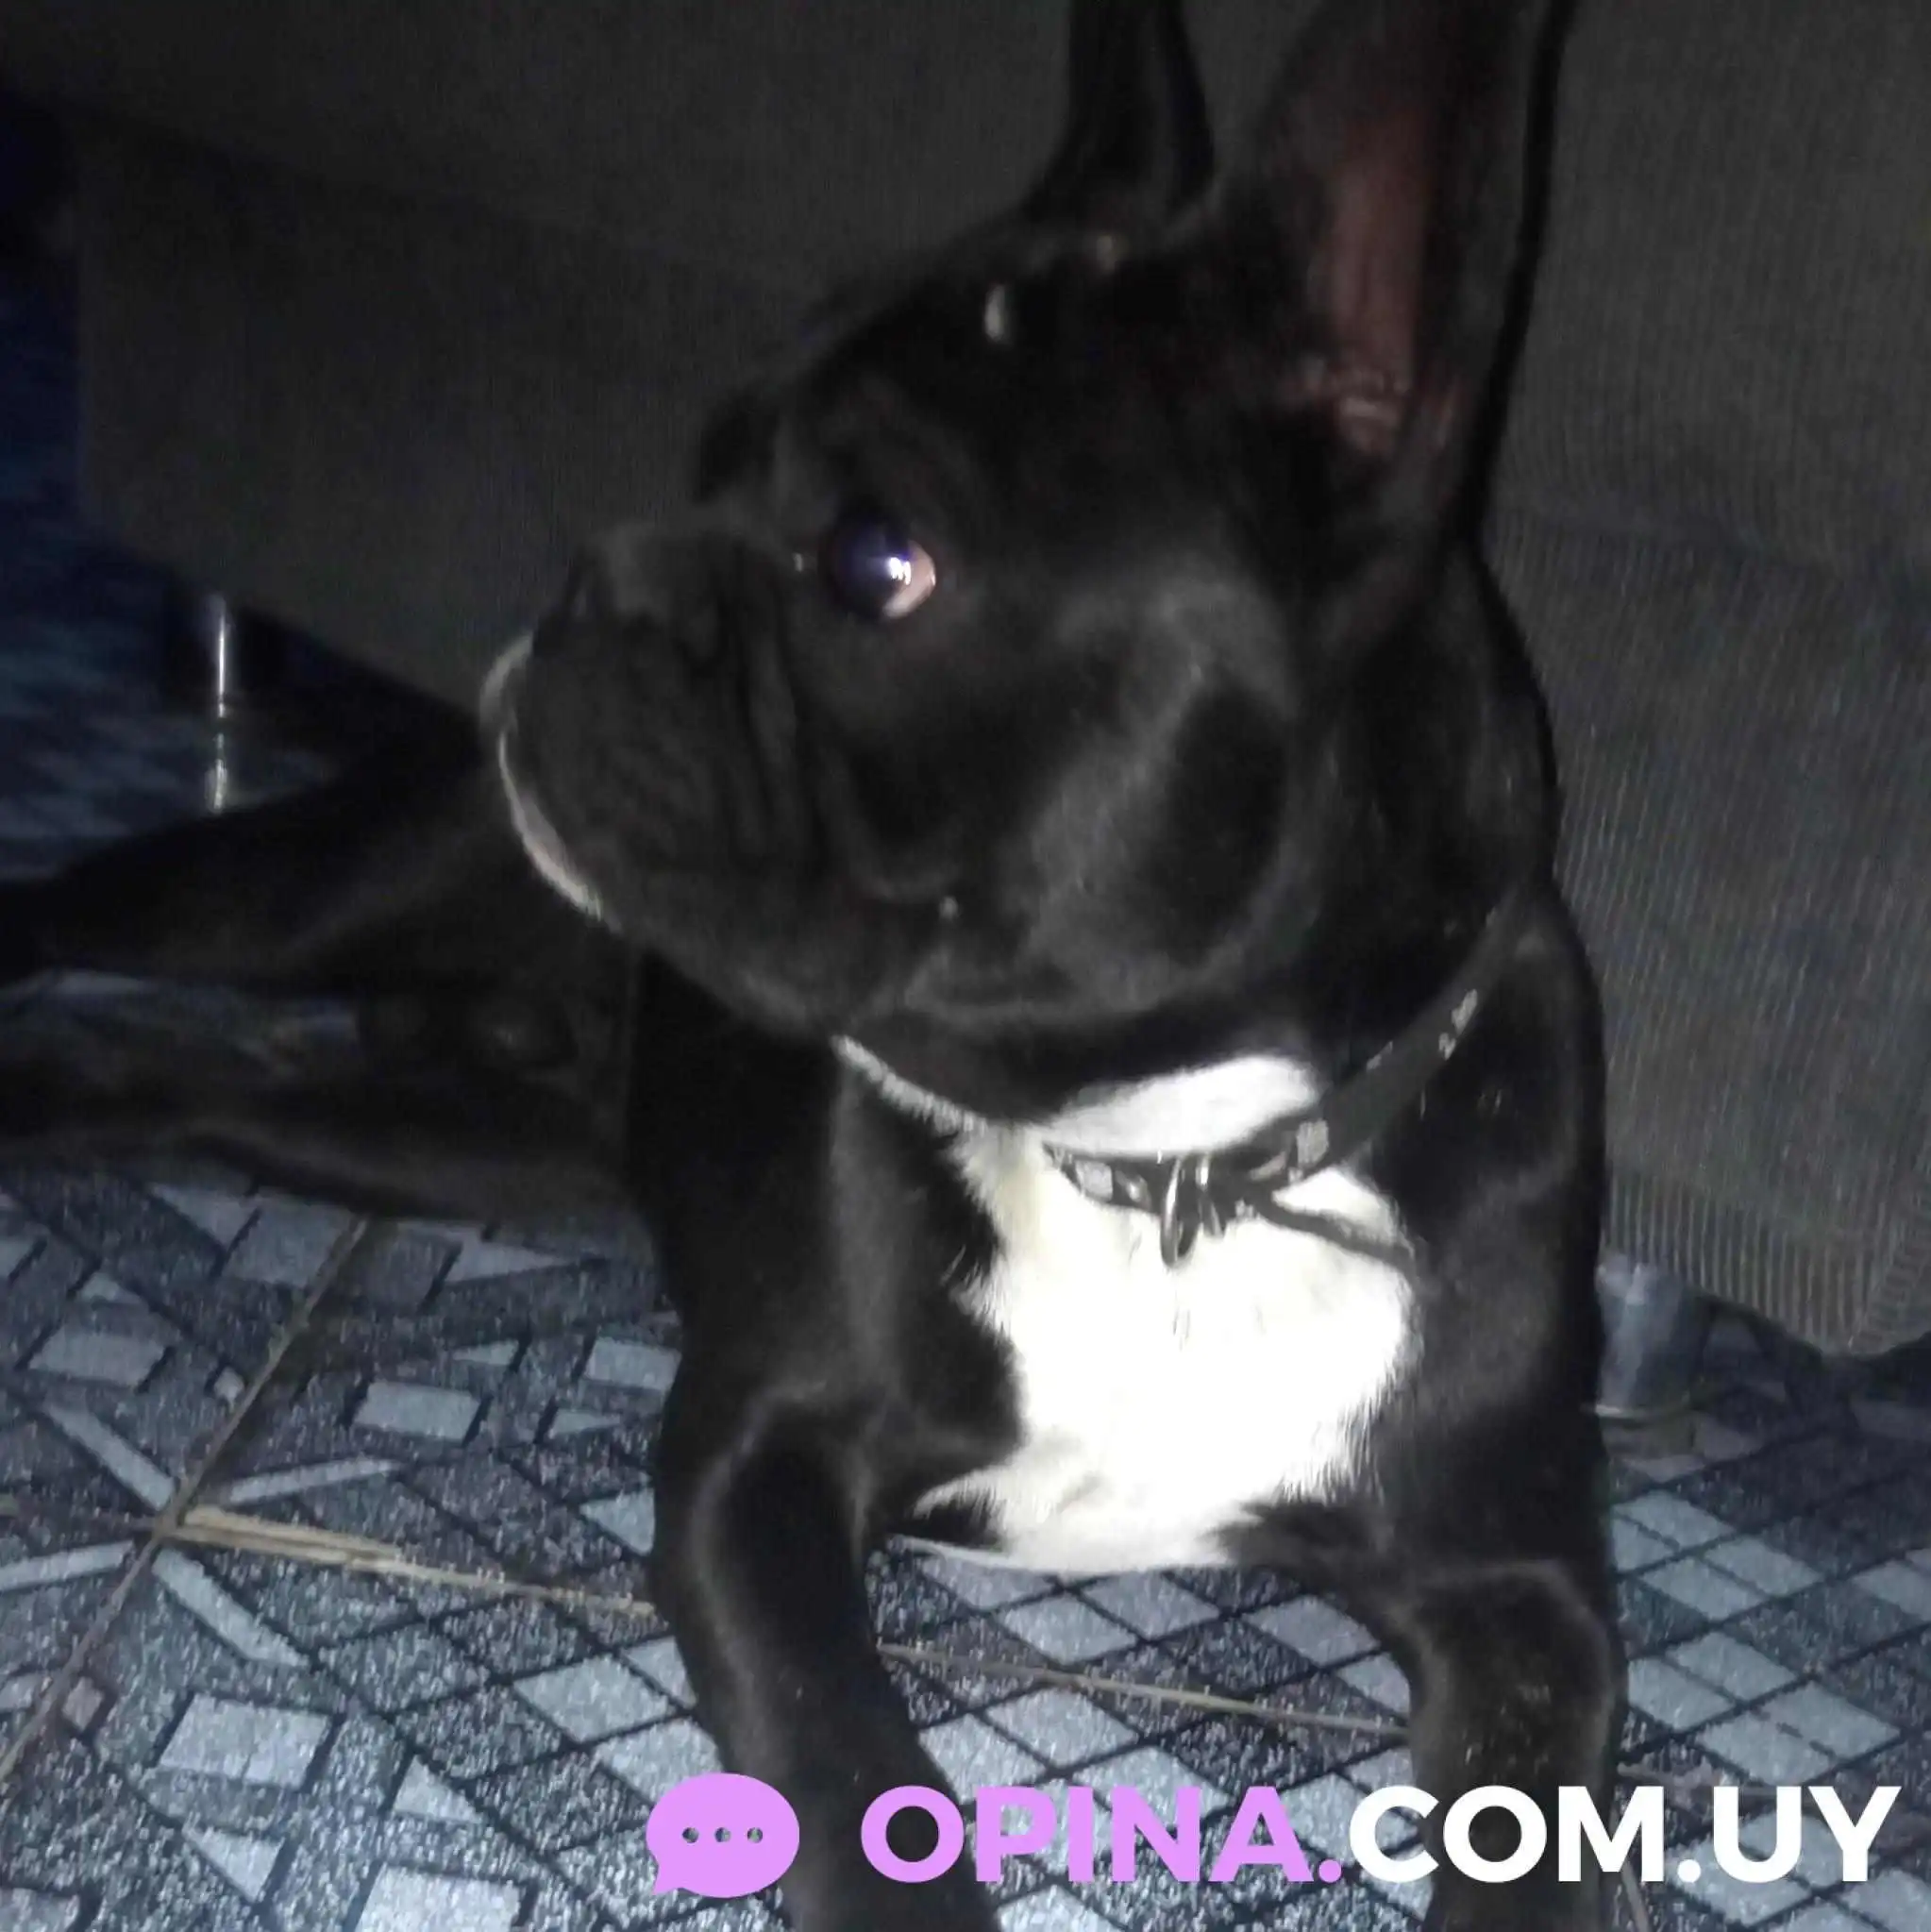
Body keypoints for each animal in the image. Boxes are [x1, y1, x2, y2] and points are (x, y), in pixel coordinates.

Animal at [3, 2, 1620, 1925]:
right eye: (707, 451)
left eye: (874, 559)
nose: (589, 583)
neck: (1177, 1158)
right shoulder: (756, 1466)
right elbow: (856, 1766)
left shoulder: (1526, 1590)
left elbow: (1543, 1821)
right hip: (308, 888)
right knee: (89, 911)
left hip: (445, 1133)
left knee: (180, 1082)